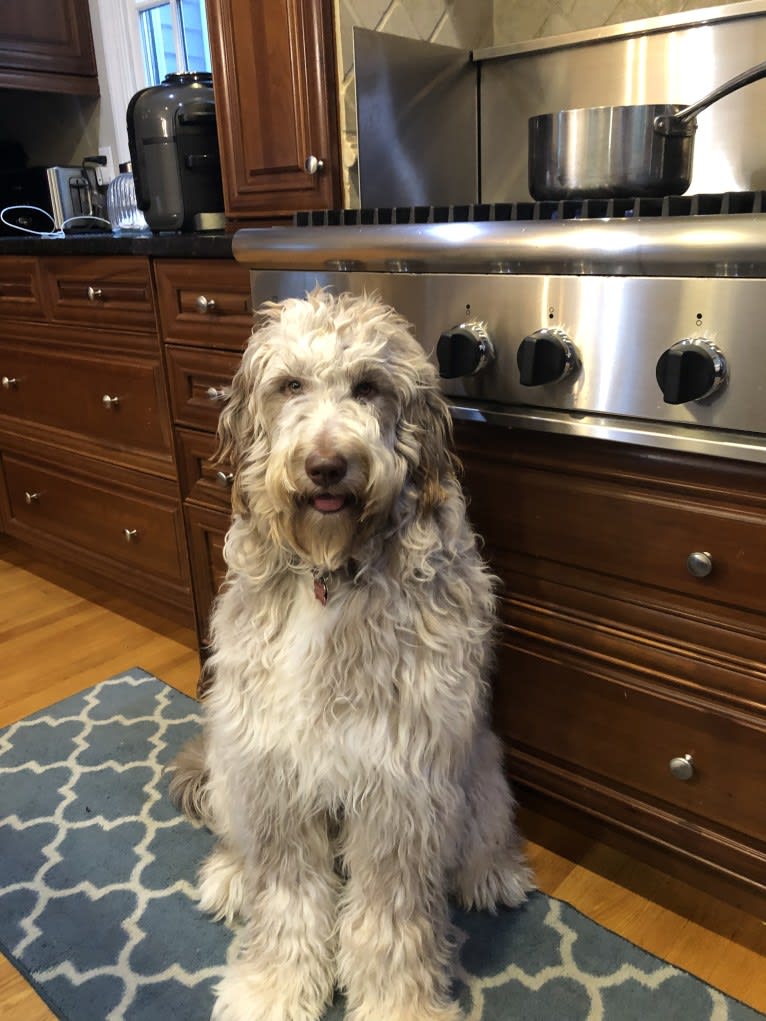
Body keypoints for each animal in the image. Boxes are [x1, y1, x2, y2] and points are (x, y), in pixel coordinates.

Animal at [170, 289, 535, 1021]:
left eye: (368, 387)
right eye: (290, 386)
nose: (327, 466)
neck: (331, 570)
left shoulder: (402, 780)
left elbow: (391, 919)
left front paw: (399, 1003)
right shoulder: (273, 766)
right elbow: (286, 897)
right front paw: (272, 989)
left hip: (480, 764)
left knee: (485, 825)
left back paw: (492, 871)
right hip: (229, 758)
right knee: (239, 839)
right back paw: (230, 873)